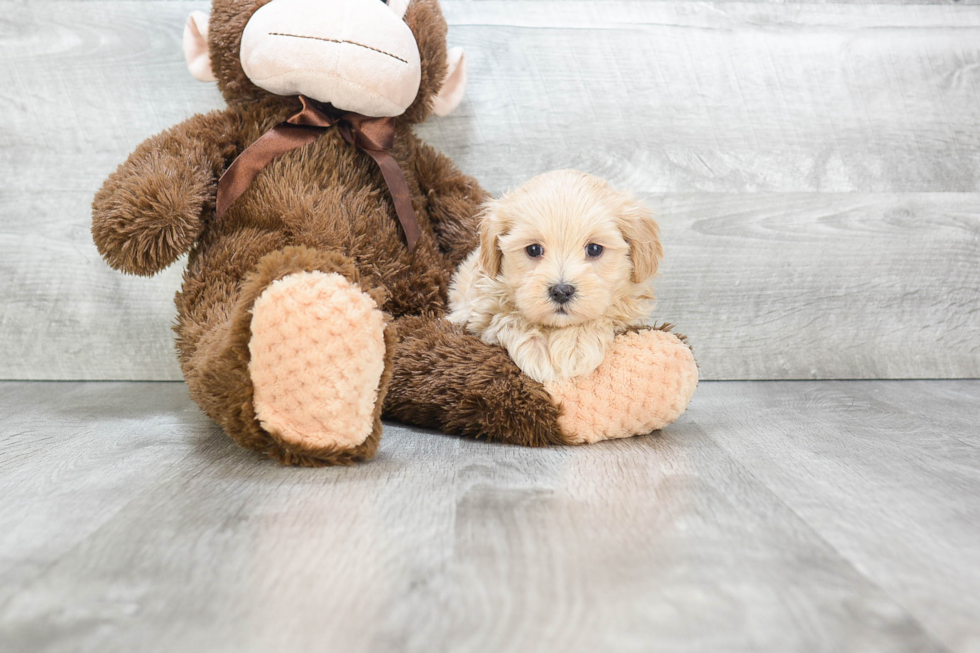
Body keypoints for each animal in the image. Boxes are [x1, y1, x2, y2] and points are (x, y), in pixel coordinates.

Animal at [452, 169, 668, 382]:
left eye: (594, 249)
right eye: (533, 249)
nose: (562, 291)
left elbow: (603, 314)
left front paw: (575, 343)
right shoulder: (476, 311)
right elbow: (506, 316)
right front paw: (537, 350)